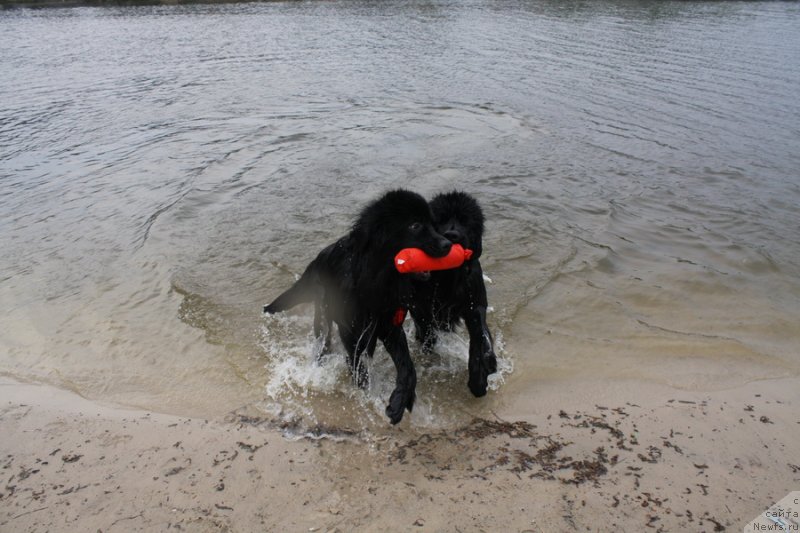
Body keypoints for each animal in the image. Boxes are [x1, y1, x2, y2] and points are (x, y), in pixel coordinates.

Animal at [262, 189, 450, 422]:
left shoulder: (389, 325)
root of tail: (316, 262)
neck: (375, 279)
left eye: (433, 224)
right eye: (415, 225)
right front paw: (367, 397)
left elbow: (407, 368)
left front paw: (399, 402)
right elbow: (359, 369)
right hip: (323, 317)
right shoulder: (351, 330)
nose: (448, 244)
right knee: (323, 344)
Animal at [410, 190, 496, 394]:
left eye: (465, 221)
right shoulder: (420, 307)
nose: (452, 234)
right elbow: (427, 332)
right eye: (440, 220)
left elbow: (480, 338)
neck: (448, 275)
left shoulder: (475, 304)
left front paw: (479, 378)